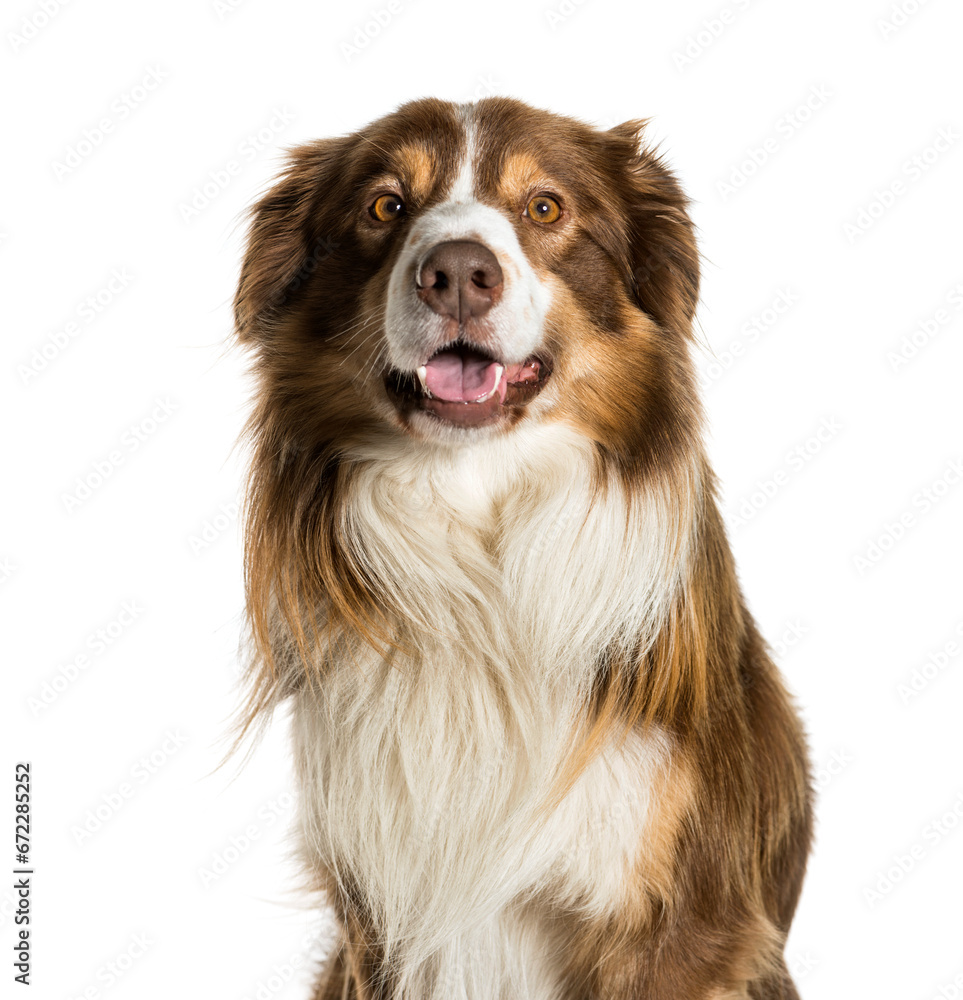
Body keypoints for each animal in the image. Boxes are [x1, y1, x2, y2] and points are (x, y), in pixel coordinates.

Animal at [233, 95, 812, 1000]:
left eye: (544, 207)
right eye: (385, 206)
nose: (457, 272)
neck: (480, 518)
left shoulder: (682, 924)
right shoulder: (380, 920)